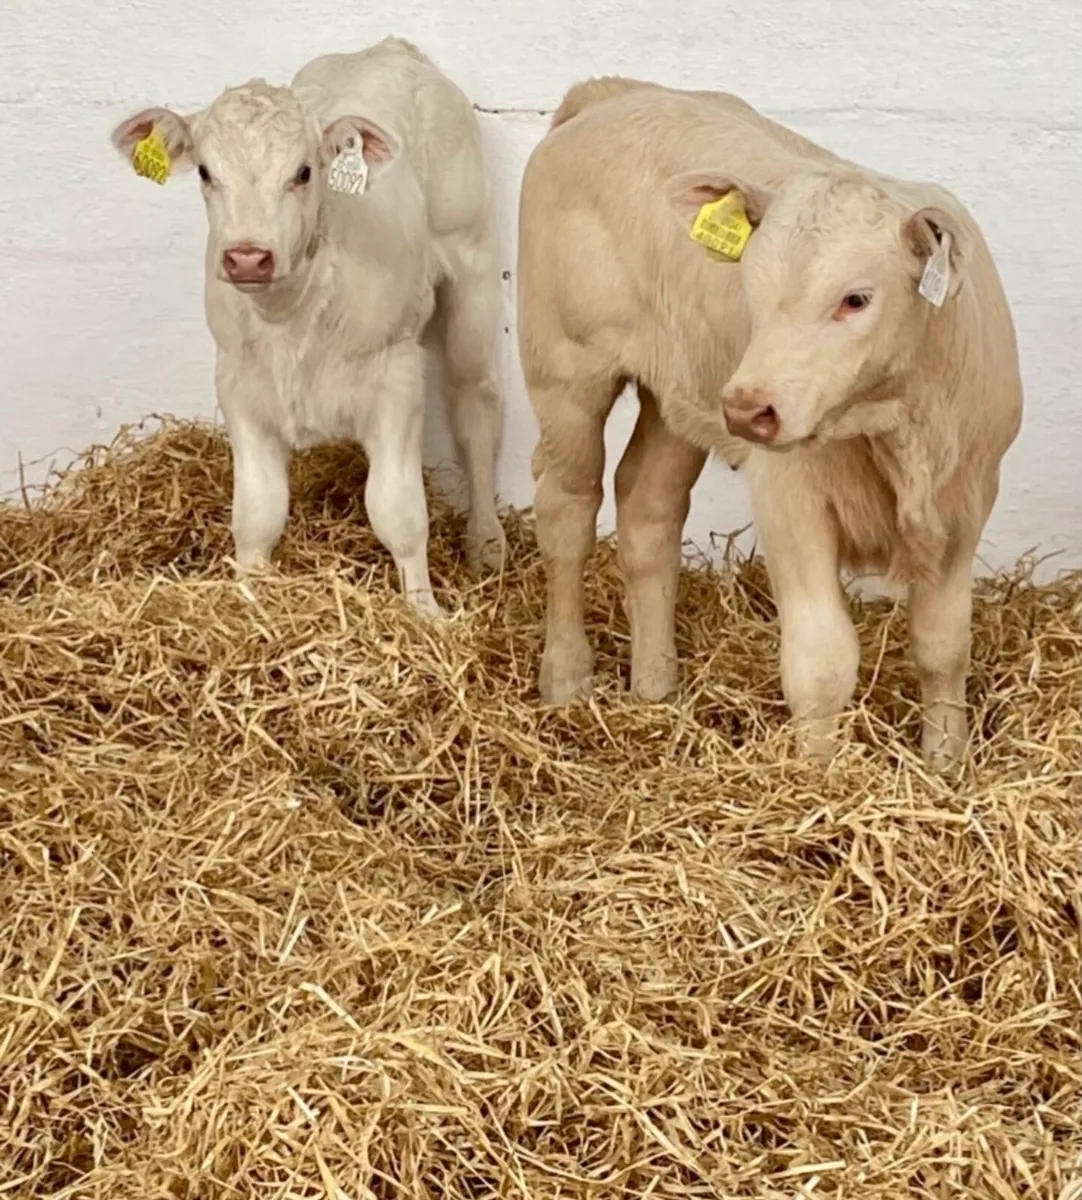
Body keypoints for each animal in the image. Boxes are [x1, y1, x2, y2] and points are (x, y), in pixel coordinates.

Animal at [112, 37, 507, 615]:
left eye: (303, 172)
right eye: (205, 172)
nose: (247, 256)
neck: (291, 318)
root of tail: (390, 49)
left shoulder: (396, 377)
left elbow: (399, 511)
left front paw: (424, 613)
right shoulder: (238, 384)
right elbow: (257, 512)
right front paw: (249, 595)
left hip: (472, 262)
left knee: (475, 404)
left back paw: (488, 542)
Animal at [517, 76, 1022, 769]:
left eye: (856, 298)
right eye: (751, 287)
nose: (749, 407)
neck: (897, 429)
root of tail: (610, 94)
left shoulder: (967, 504)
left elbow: (944, 646)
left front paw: (946, 763)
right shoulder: (791, 496)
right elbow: (823, 662)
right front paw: (817, 774)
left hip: (680, 397)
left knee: (647, 507)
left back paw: (655, 685)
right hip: (566, 374)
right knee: (567, 510)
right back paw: (567, 677)